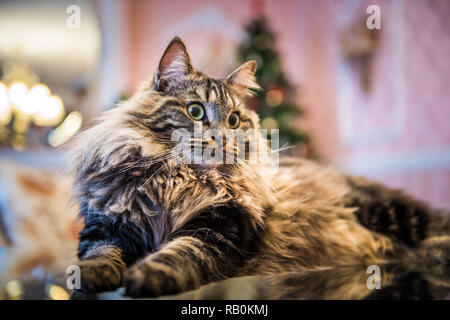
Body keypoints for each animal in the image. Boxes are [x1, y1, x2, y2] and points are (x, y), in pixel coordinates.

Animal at [67, 37, 450, 298]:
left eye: (235, 120)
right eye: (195, 111)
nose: (222, 137)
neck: (177, 180)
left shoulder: (219, 229)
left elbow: (178, 253)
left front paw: (149, 276)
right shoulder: (107, 228)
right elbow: (101, 256)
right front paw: (92, 276)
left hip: (385, 211)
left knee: (434, 228)